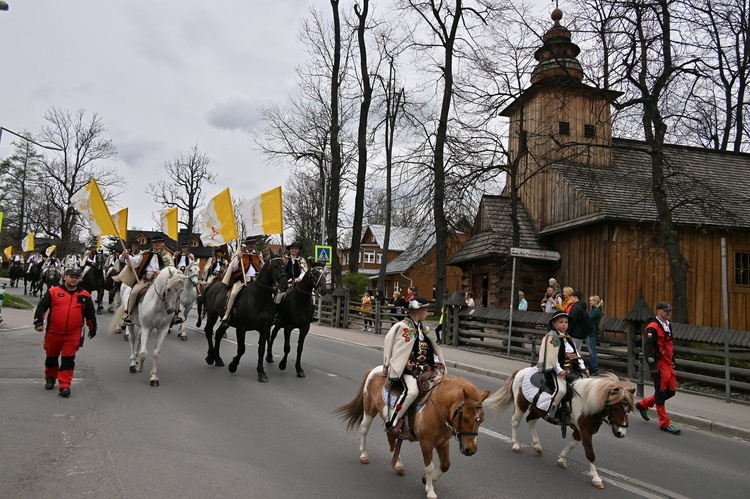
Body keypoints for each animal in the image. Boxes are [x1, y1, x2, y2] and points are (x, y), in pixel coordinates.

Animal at [336, 368, 490, 499]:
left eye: (482, 419)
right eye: (465, 418)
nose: (471, 449)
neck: (437, 408)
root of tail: (374, 370)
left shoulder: (442, 442)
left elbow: (445, 465)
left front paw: (428, 479)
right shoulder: (426, 443)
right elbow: (429, 467)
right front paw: (430, 490)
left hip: (390, 422)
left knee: (391, 436)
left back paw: (398, 464)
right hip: (369, 410)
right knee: (364, 430)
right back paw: (364, 455)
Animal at [484, 370, 636, 490]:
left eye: (628, 409)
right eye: (615, 407)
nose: (621, 433)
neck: (587, 401)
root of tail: (521, 371)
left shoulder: (580, 430)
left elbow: (572, 444)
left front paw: (562, 459)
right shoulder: (585, 431)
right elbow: (590, 454)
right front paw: (596, 478)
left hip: (538, 410)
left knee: (530, 421)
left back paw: (537, 446)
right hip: (521, 404)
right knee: (515, 422)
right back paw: (516, 445)